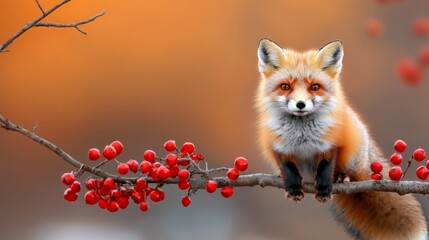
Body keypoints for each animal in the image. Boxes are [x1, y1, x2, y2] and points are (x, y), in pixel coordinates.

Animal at [256, 38, 426, 239]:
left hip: (354, 159)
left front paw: (323, 189)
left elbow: (325, 168)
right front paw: (293, 187)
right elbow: (288, 168)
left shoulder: (330, 144)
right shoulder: (279, 146)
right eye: (285, 87)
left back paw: (341, 177)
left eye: (315, 87)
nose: (300, 104)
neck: (301, 133)